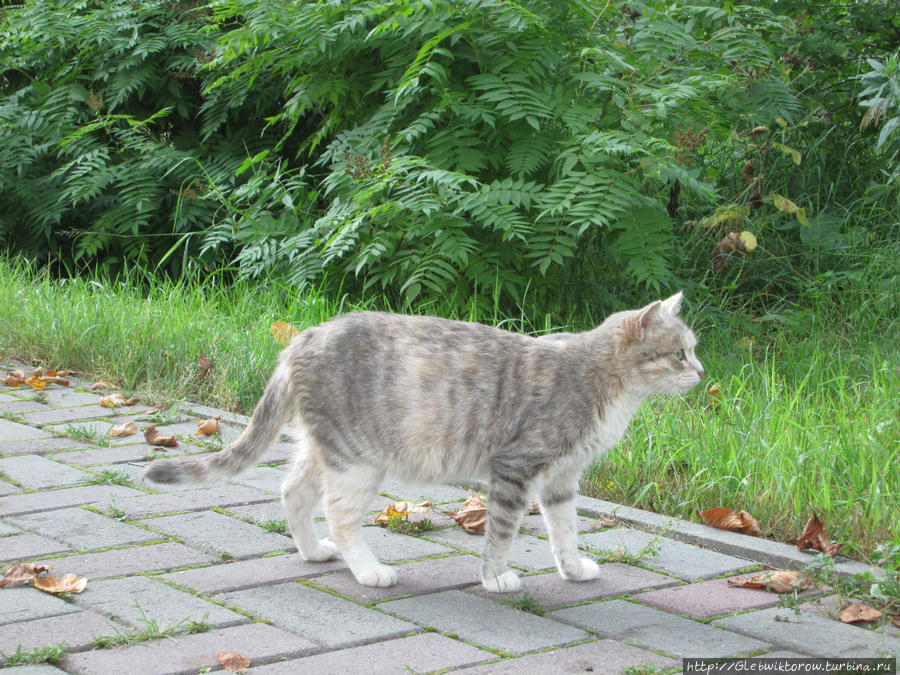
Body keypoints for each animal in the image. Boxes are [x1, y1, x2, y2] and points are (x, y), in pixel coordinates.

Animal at [144, 290, 704, 592]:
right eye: (679, 353)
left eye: (693, 350)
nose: (702, 372)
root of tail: (303, 338)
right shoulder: (514, 470)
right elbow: (501, 535)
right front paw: (495, 577)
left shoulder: (562, 480)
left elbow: (564, 532)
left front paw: (572, 569)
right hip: (358, 461)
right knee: (339, 514)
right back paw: (369, 570)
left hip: (323, 450)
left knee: (292, 492)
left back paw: (315, 552)